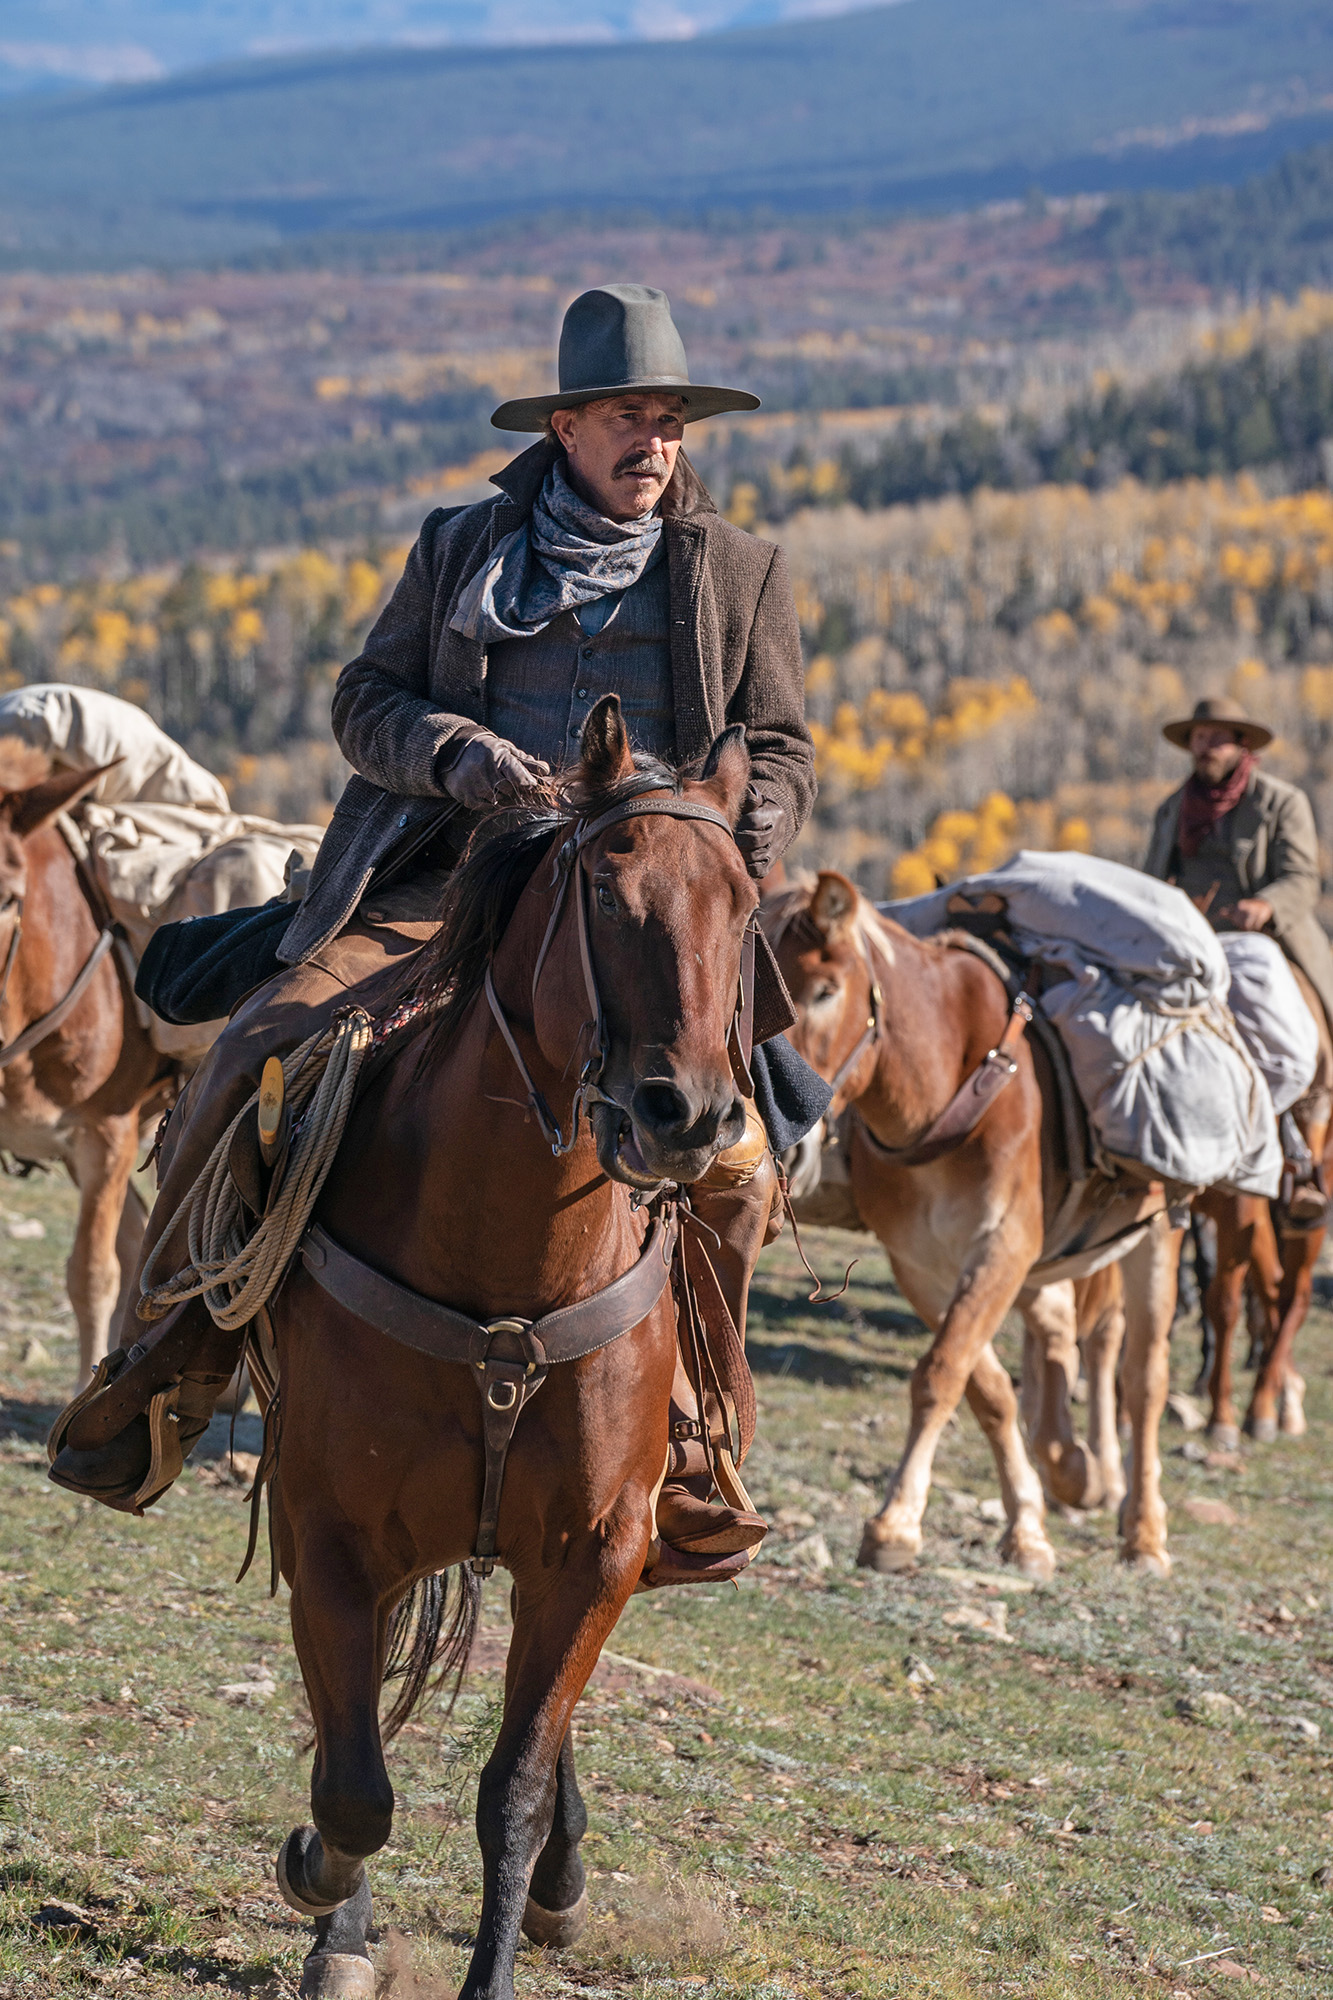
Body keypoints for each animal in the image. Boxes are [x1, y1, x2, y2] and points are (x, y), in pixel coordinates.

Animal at [252, 704, 756, 2000]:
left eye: (743, 905)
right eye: (608, 894)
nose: (685, 1115)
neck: (509, 1277)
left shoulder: (596, 1550)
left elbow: (514, 1787)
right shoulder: (330, 1535)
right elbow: (354, 1783)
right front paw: (322, 1883)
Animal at [768, 872, 1184, 1576]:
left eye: (825, 991)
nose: (784, 1142)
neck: (945, 1092)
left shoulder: (1002, 1248)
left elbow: (941, 1373)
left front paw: (895, 1522)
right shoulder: (921, 1267)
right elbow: (984, 1387)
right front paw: (1027, 1524)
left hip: (1156, 1234)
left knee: (1142, 1379)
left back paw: (1145, 1531)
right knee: (1058, 1333)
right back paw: (1073, 1468)